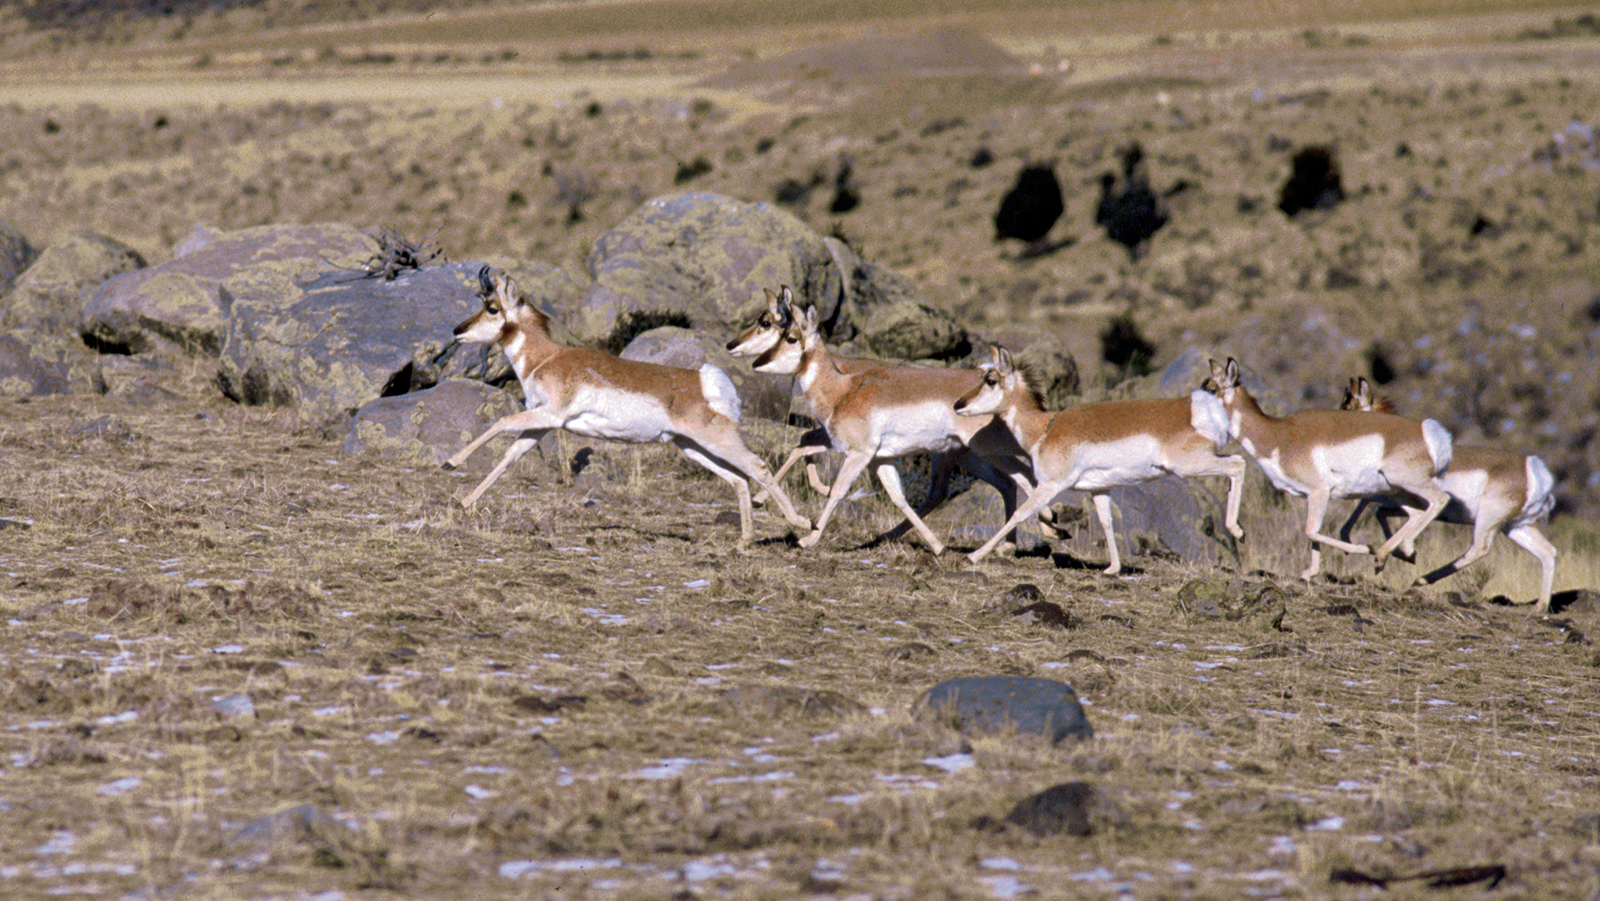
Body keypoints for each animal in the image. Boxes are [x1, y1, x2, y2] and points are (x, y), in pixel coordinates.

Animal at [442, 266, 810, 548]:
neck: (546, 358)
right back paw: (744, 540)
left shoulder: (549, 414)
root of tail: (704, 380)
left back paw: (802, 524)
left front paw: (451, 462)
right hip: (691, 447)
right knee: (738, 479)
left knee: (757, 467)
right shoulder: (543, 423)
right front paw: (465, 501)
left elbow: (500, 422)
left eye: (492, 307)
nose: (457, 330)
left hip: (718, 441)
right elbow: (511, 454)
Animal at [748, 298, 1038, 553]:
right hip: (966, 456)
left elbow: (837, 492)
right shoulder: (880, 459)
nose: (757, 362)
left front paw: (808, 539)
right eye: (775, 330)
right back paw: (1007, 546)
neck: (843, 391)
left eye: (790, 338)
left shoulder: (858, 455)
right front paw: (937, 546)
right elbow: (898, 498)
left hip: (988, 452)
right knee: (1006, 484)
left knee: (1027, 480)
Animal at [953, 345, 1247, 573]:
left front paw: (974, 555)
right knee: (1236, 461)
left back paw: (1237, 530)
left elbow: (1019, 513)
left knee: (1237, 464)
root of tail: (1194, 407)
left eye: (991, 379)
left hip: (1190, 466)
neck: (1045, 427)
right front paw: (1113, 568)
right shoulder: (1099, 489)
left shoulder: (1050, 485)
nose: (958, 405)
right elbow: (1107, 521)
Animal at [1203, 358, 1454, 581]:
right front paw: (1310, 572)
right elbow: (1313, 533)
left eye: (1212, 389)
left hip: (1406, 484)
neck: (1276, 435)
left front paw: (1363, 549)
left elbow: (1310, 531)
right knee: (1417, 513)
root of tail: (1426, 432)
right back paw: (1388, 555)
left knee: (1439, 500)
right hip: (1395, 491)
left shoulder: (1320, 491)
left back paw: (1385, 552)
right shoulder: (1311, 495)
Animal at [1340, 376, 1557, 612]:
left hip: (1488, 521)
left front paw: (1399, 554)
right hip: (1514, 526)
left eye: (1348, 408)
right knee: (1547, 551)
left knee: (1479, 548)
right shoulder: (1398, 506)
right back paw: (1539, 607)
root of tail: (1533, 469)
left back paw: (1421, 580)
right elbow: (1380, 513)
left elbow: (1382, 513)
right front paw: (1405, 554)